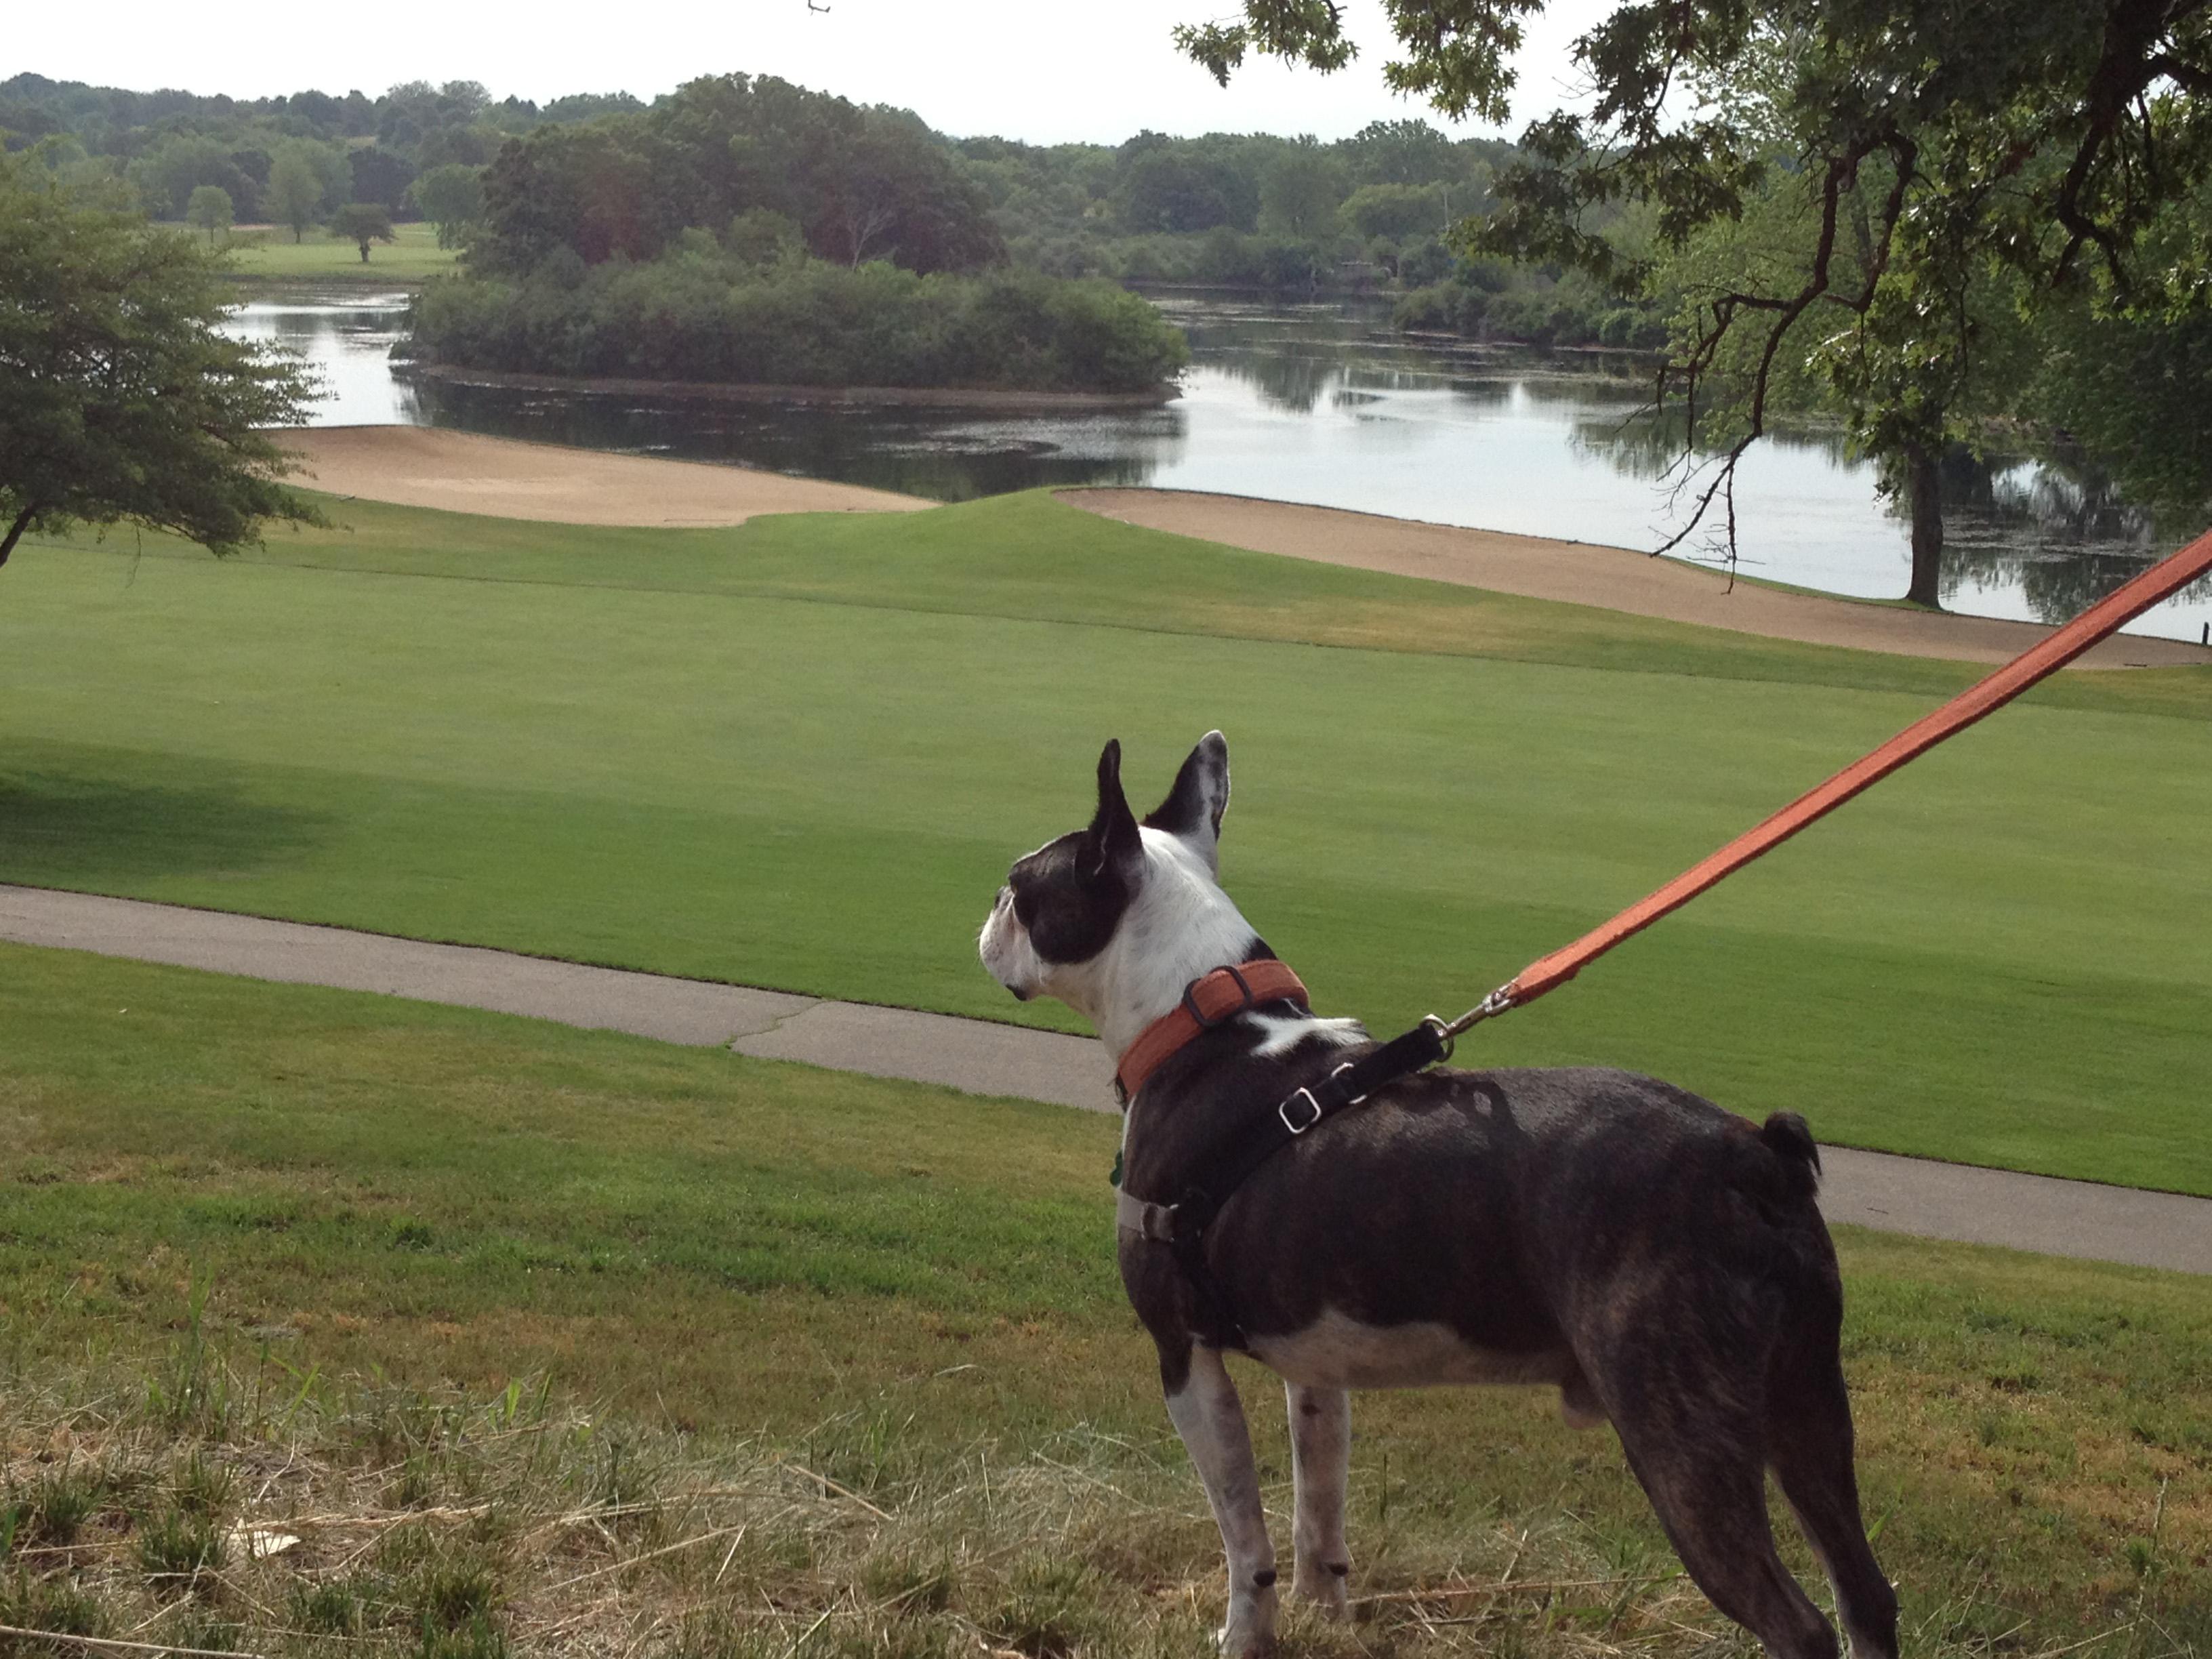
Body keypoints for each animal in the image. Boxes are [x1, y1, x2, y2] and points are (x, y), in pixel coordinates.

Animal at [986, 739, 1902, 1659]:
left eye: (1022, 885)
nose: (989, 908)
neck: (1202, 1023)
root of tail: (1754, 1155)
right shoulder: (1318, 1365)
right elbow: (1318, 1512)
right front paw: (1329, 1618)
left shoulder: (1183, 1353)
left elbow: (1244, 1535)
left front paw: (1246, 1635)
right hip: (1809, 1406)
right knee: (1866, 1592)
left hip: (1681, 1431)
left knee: (1799, 1623)